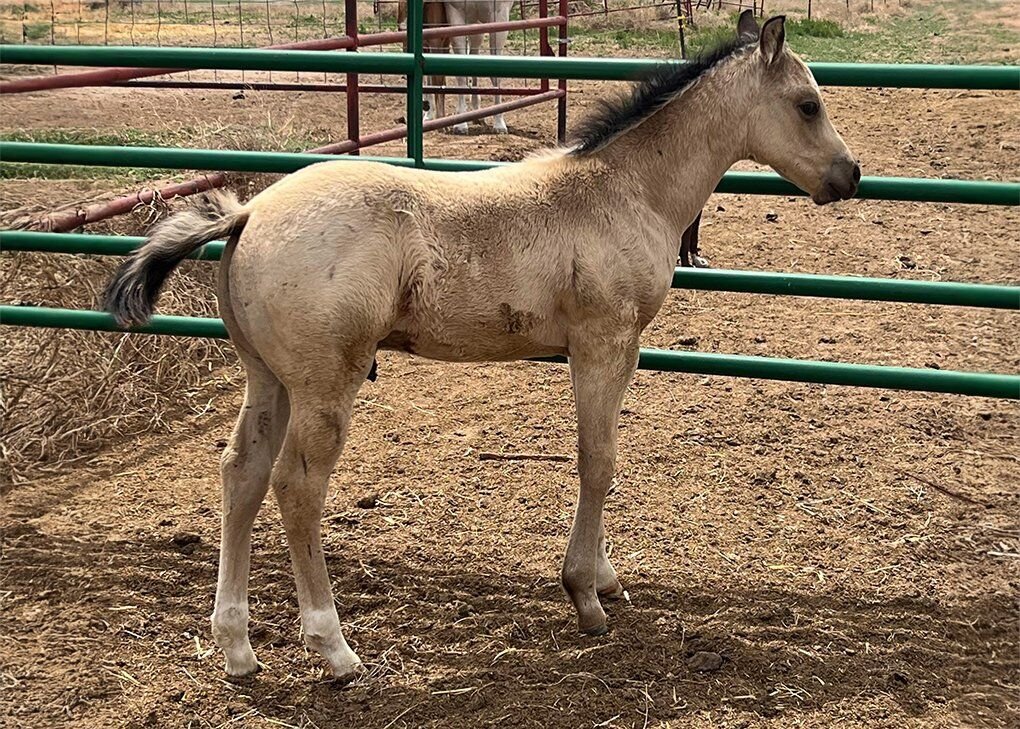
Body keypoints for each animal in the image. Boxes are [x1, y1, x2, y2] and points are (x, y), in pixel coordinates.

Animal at [104, 12, 859, 681]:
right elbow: (596, 462)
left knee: (242, 474)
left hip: (269, 377)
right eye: (807, 104)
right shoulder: (601, 343)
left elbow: (607, 459)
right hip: (325, 383)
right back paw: (335, 649)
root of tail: (249, 211)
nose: (849, 175)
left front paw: (607, 579)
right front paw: (584, 596)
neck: (625, 190)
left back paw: (236, 647)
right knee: (297, 486)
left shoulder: (622, 349)